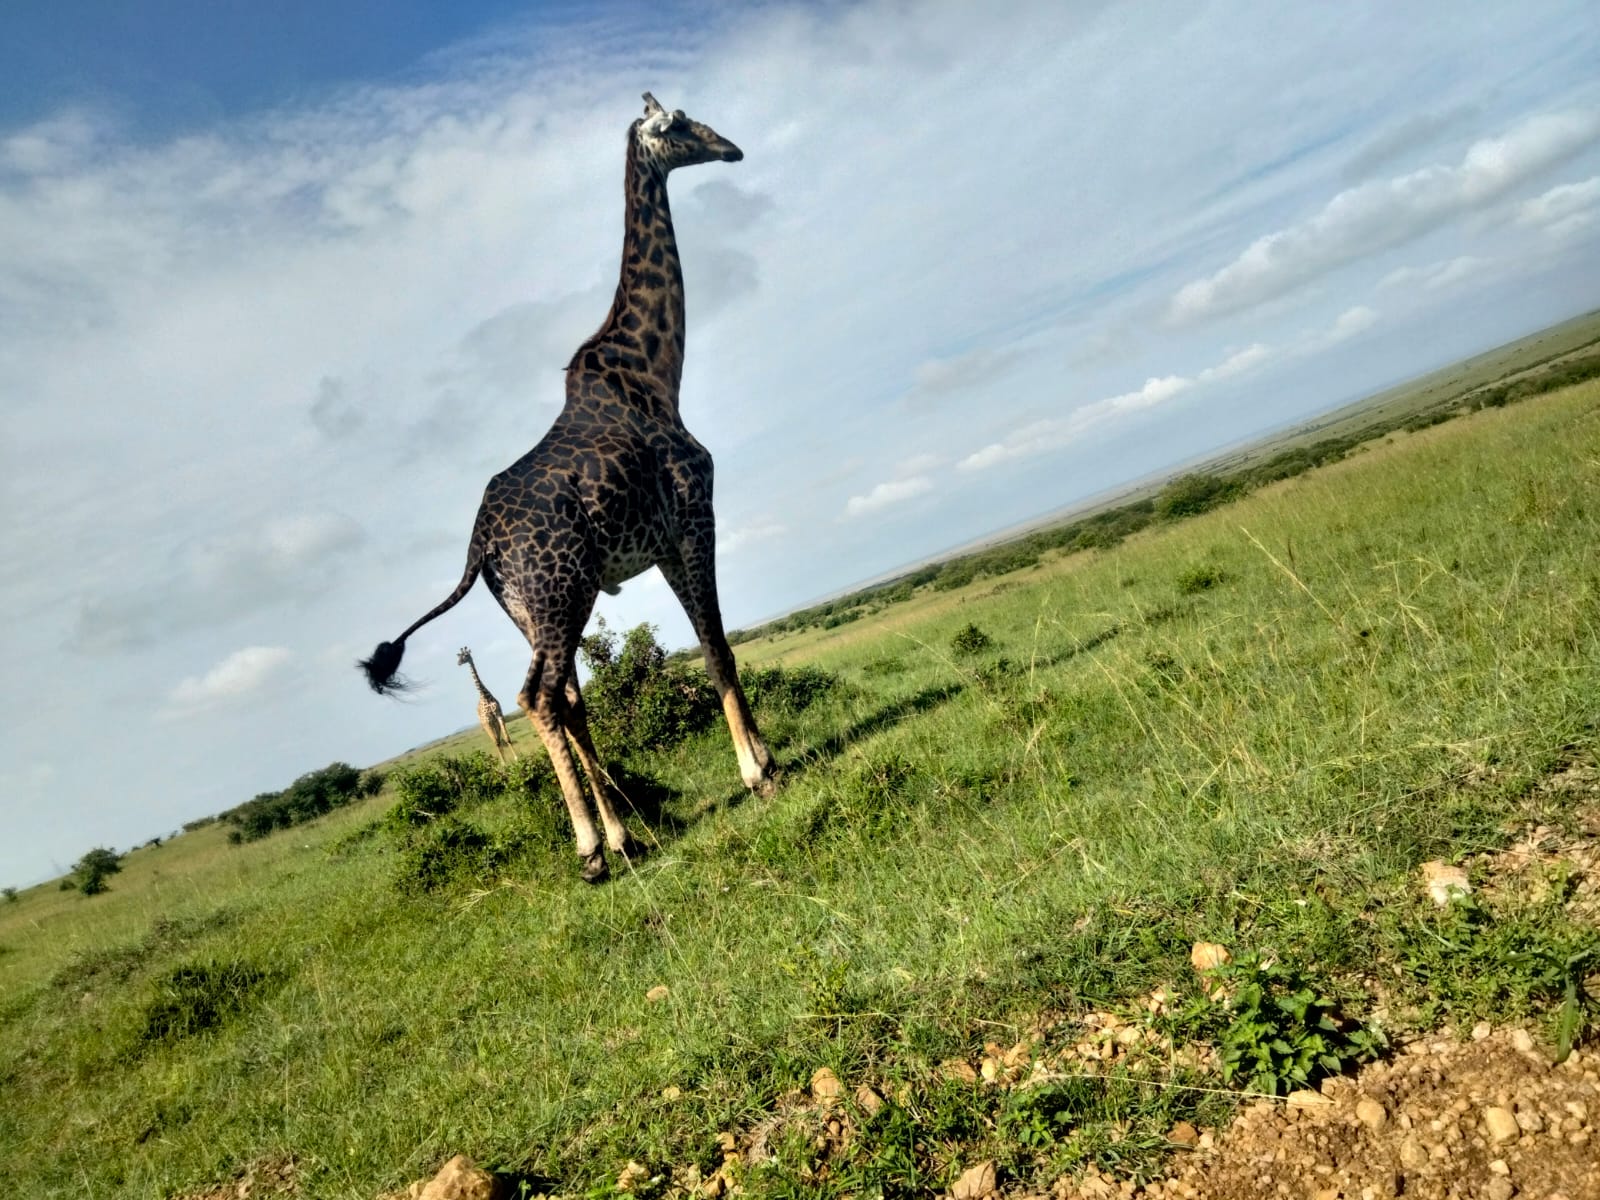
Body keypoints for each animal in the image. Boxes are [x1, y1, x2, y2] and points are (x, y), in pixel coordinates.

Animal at [363, 91, 774, 883]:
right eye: (680, 123)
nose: (732, 148)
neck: (656, 370)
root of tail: (479, 548)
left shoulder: (664, 542)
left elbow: (709, 644)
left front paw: (755, 764)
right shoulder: (695, 513)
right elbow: (717, 646)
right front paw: (760, 771)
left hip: (529, 607)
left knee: (567, 697)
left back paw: (625, 836)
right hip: (559, 593)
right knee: (540, 697)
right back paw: (591, 848)